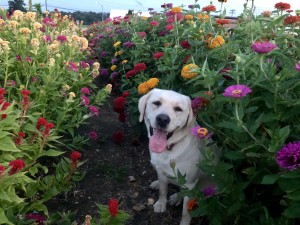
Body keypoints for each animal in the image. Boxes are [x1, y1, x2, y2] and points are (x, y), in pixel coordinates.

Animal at [138, 88, 216, 225]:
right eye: (156, 103)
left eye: (178, 109)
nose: (163, 119)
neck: (169, 149)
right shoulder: (161, 171)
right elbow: (163, 190)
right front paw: (161, 203)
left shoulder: (190, 183)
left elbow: (186, 211)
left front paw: (184, 222)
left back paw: (176, 198)